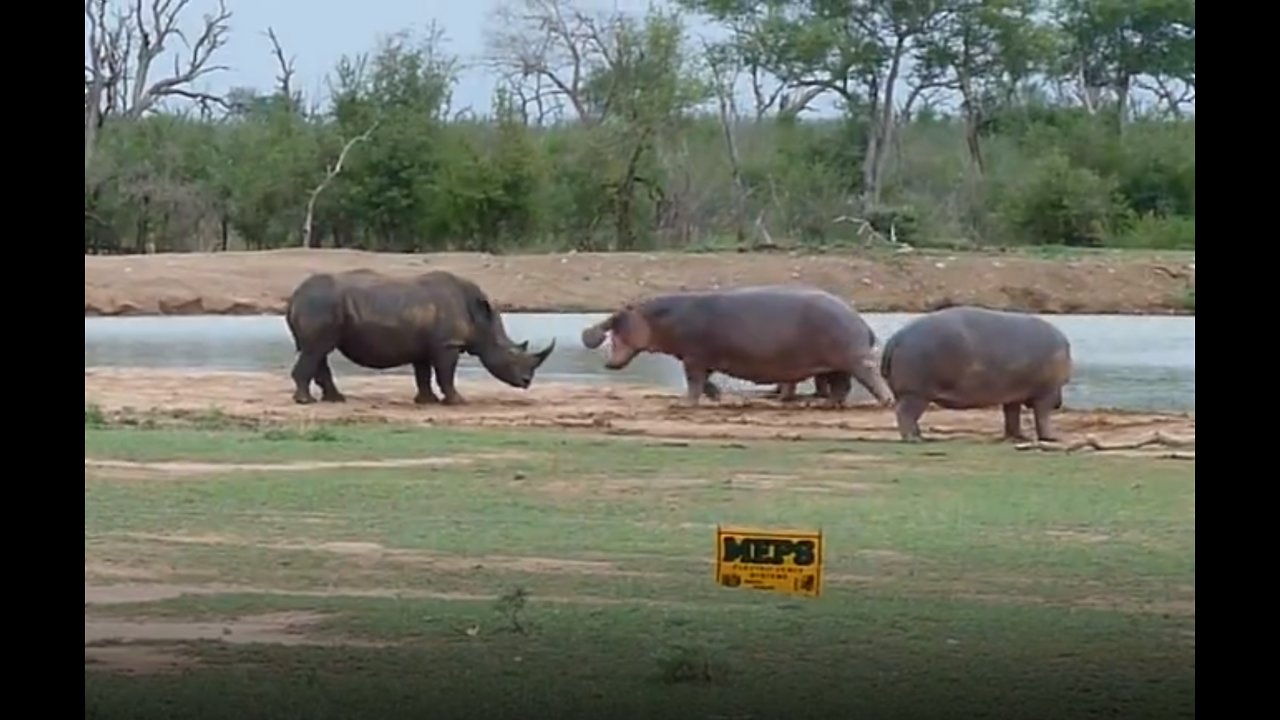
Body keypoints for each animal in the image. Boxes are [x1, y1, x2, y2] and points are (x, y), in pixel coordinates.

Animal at [285, 267, 555, 404]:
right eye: (509, 353)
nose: (527, 382)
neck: (481, 320)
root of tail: (294, 296)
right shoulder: (448, 344)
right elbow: (446, 374)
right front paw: (458, 401)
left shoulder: (424, 346)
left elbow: (423, 374)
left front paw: (426, 401)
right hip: (320, 304)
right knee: (317, 349)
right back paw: (306, 401)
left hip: (319, 304)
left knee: (318, 351)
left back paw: (335, 399)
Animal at [578, 285, 890, 409]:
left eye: (616, 324)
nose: (607, 363)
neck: (657, 319)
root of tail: (859, 319)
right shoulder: (699, 358)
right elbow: (704, 382)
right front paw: (716, 397)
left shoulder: (693, 357)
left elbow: (693, 382)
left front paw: (685, 405)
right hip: (838, 363)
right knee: (841, 386)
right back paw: (825, 404)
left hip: (853, 359)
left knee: (869, 378)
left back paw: (884, 401)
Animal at [880, 303, 1070, 440]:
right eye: (1065, 381)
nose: (1059, 403)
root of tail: (896, 337)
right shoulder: (1046, 393)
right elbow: (1042, 416)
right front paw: (1051, 439)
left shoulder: (1013, 395)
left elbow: (1012, 416)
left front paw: (1018, 437)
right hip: (916, 393)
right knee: (905, 414)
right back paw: (914, 439)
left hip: (908, 393)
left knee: (908, 415)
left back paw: (921, 436)